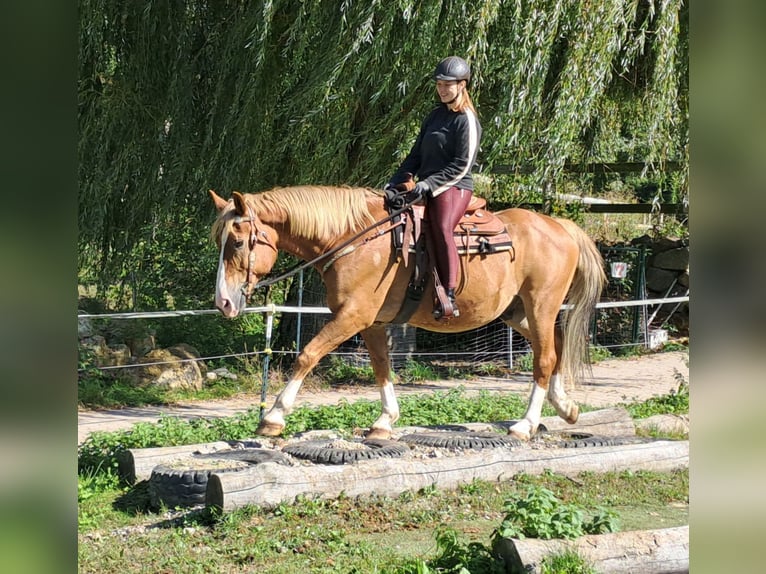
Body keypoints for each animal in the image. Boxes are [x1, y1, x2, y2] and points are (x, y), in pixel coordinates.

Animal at [210, 187, 608, 444]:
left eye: (238, 242)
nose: (223, 302)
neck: (355, 239)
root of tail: (559, 226)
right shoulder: (371, 323)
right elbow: (381, 368)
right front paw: (384, 422)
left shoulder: (352, 317)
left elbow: (307, 355)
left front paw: (273, 418)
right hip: (518, 312)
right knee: (555, 347)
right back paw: (566, 408)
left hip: (540, 305)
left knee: (544, 358)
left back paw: (525, 424)